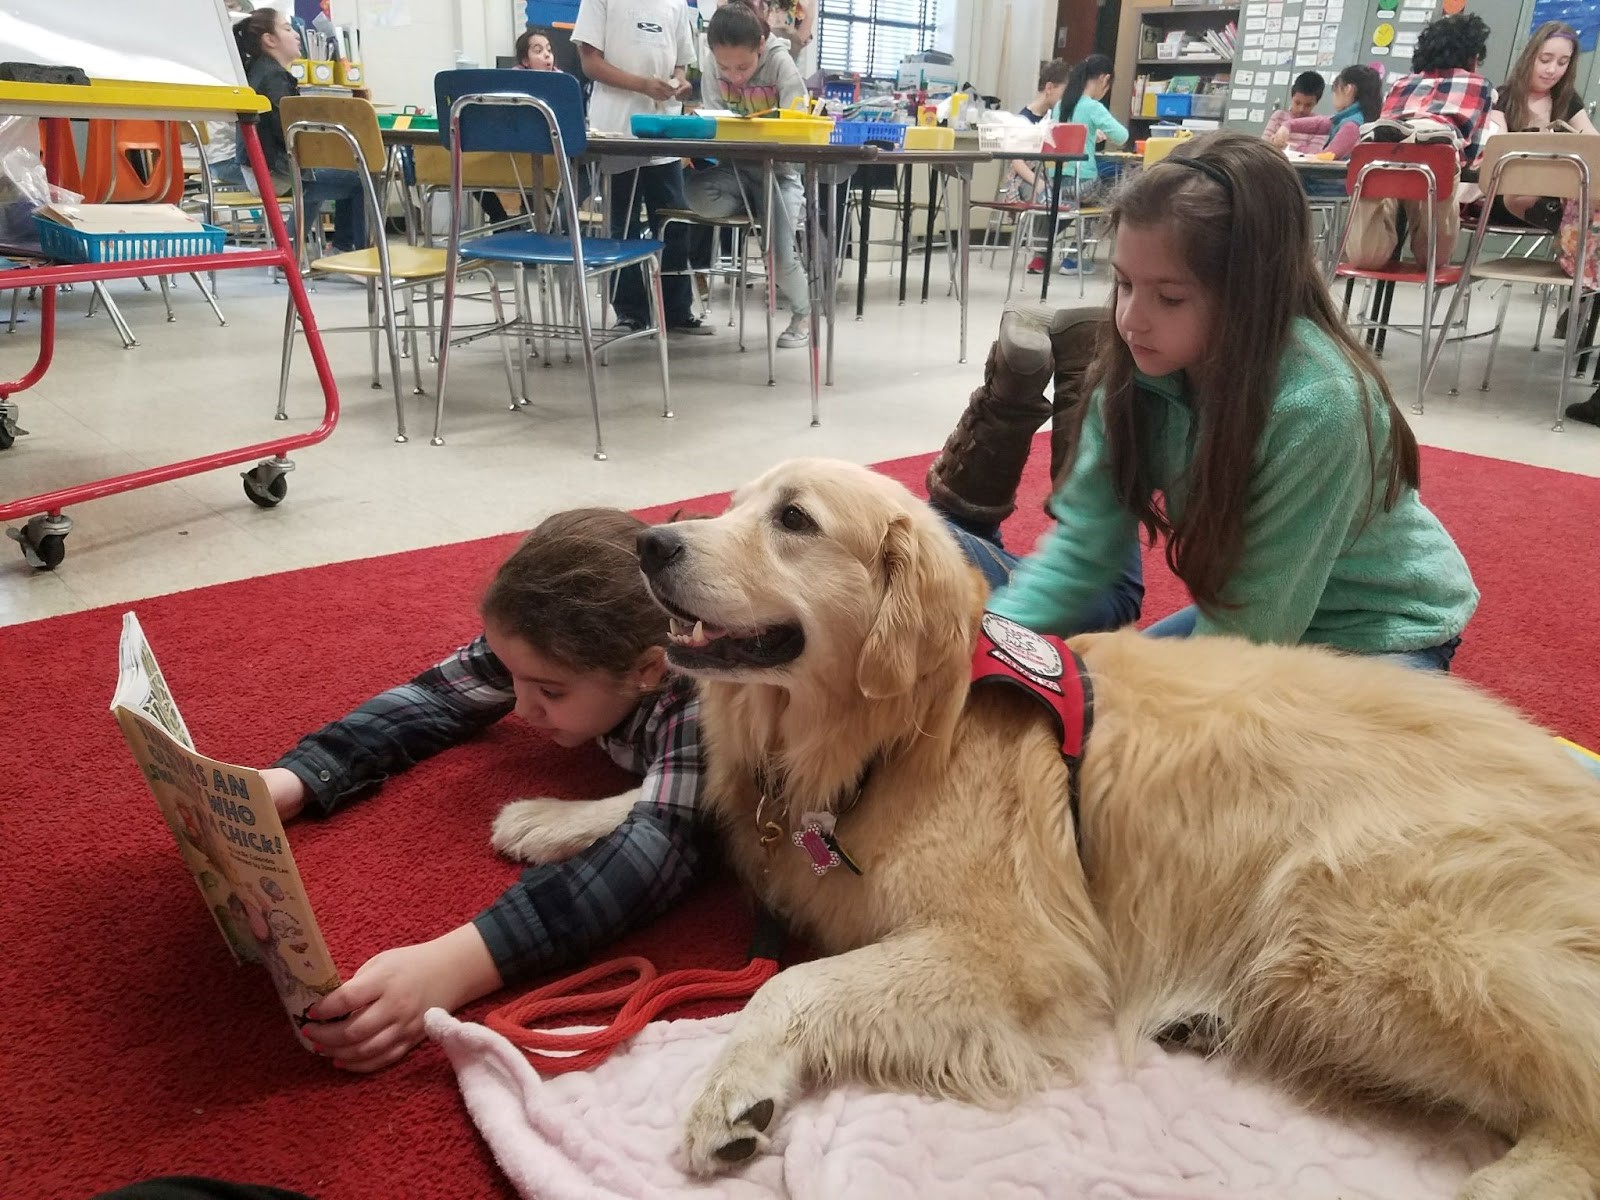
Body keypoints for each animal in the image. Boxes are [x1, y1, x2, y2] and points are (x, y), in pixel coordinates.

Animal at [505, 454, 1600, 1196]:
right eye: (734, 501)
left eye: (794, 520)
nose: (652, 542)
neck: (898, 734)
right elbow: (673, 800)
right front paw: (554, 815)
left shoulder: (1015, 950)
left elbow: (794, 986)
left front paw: (737, 1087)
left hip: (1363, 941)